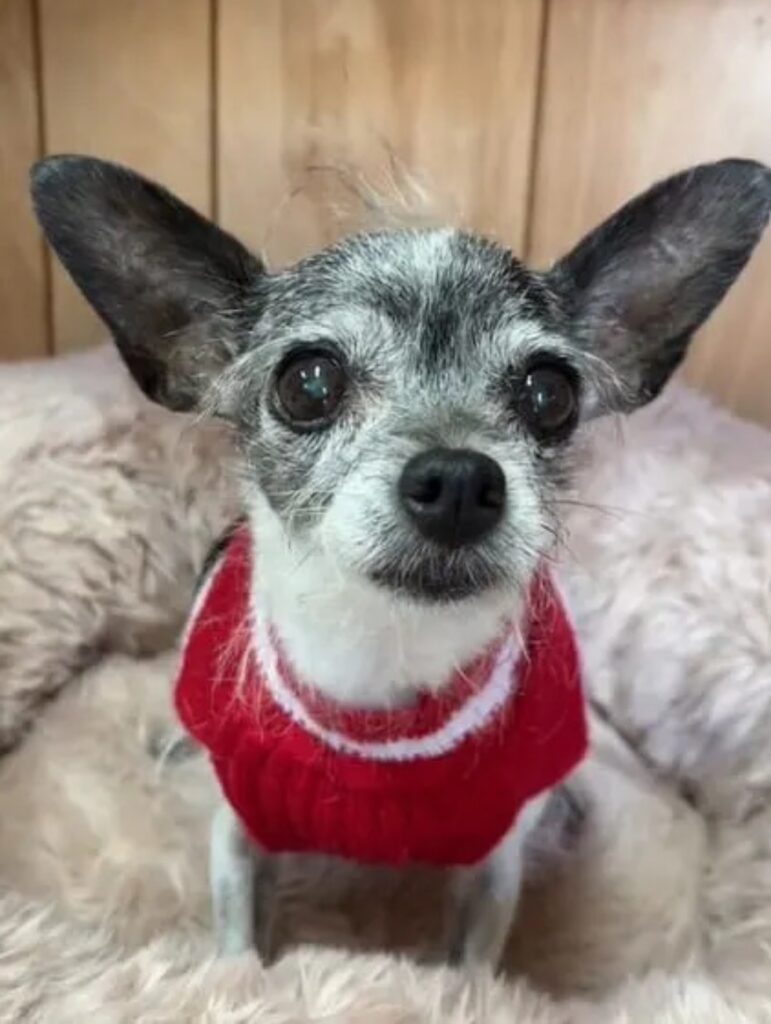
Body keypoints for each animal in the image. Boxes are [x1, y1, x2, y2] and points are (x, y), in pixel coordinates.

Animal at [31, 155, 769, 970]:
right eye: (307, 383)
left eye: (550, 394)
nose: (459, 480)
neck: (381, 661)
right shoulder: (239, 839)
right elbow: (238, 948)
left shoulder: (493, 866)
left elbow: (472, 968)